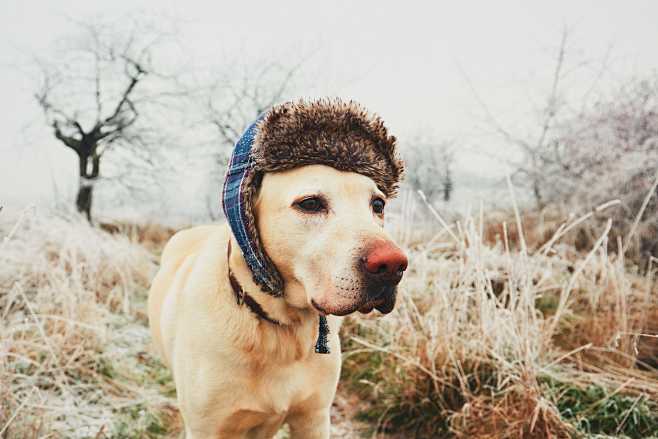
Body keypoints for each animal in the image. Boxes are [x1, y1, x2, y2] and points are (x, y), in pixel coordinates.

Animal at [147, 98, 404, 438]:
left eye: (378, 205)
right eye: (310, 203)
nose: (393, 265)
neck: (280, 327)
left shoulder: (313, 418)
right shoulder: (207, 427)